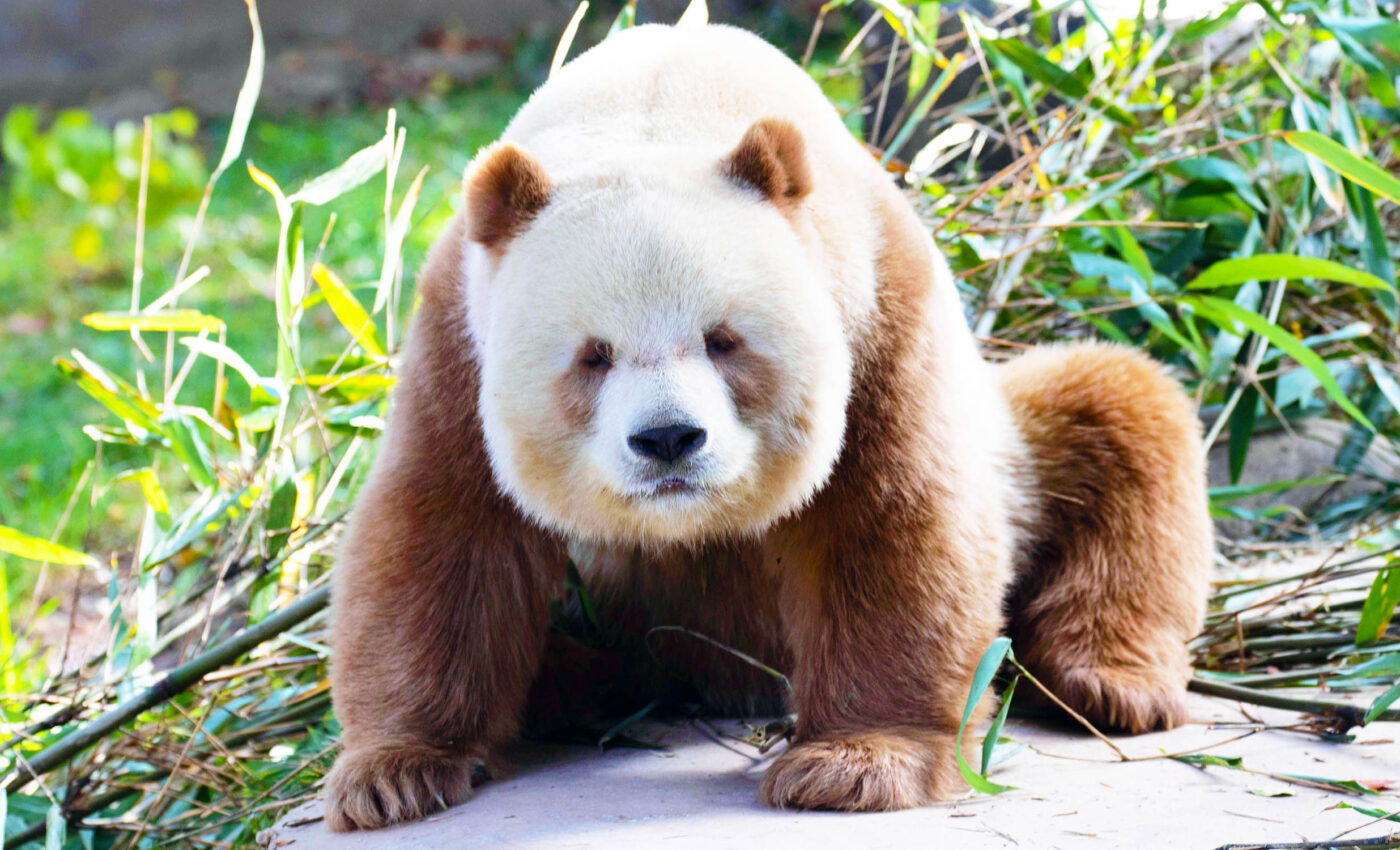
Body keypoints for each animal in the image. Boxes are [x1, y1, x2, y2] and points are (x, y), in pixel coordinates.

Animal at [324, 22, 1212, 831]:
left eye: (723, 341)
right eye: (593, 357)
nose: (669, 441)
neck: (660, 98)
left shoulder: (876, 306)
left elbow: (893, 523)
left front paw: (857, 762)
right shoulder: (455, 338)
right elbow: (443, 534)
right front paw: (393, 774)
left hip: (1024, 446)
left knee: (1117, 419)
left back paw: (1110, 683)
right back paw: (580, 688)